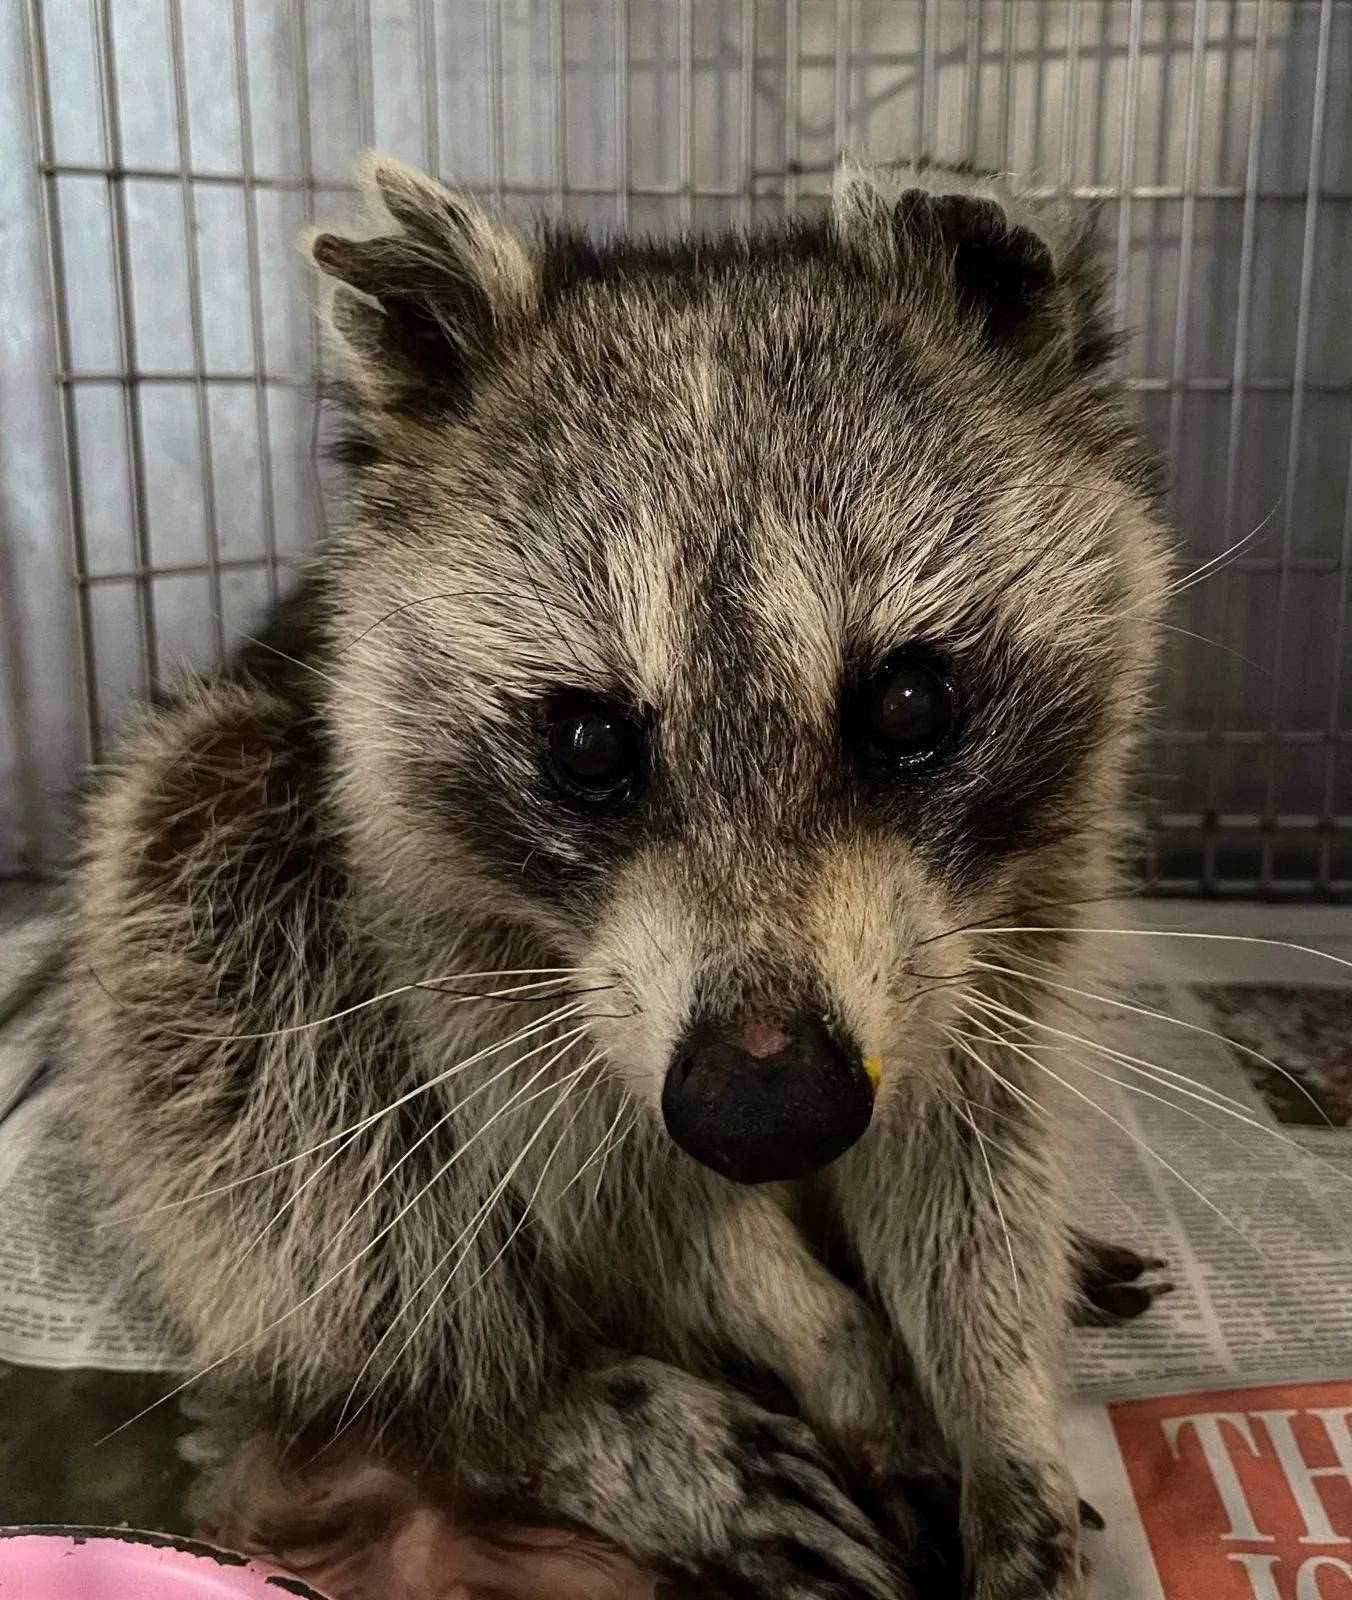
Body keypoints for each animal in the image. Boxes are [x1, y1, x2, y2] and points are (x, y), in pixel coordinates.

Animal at [63, 155, 1170, 1599]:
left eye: (910, 703)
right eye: (589, 741)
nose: (770, 1113)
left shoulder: (1006, 919)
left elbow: (972, 1150)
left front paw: (1002, 1406)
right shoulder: (451, 934)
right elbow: (618, 1191)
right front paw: (826, 1341)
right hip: (218, 854)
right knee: (303, 1123)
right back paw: (560, 1408)